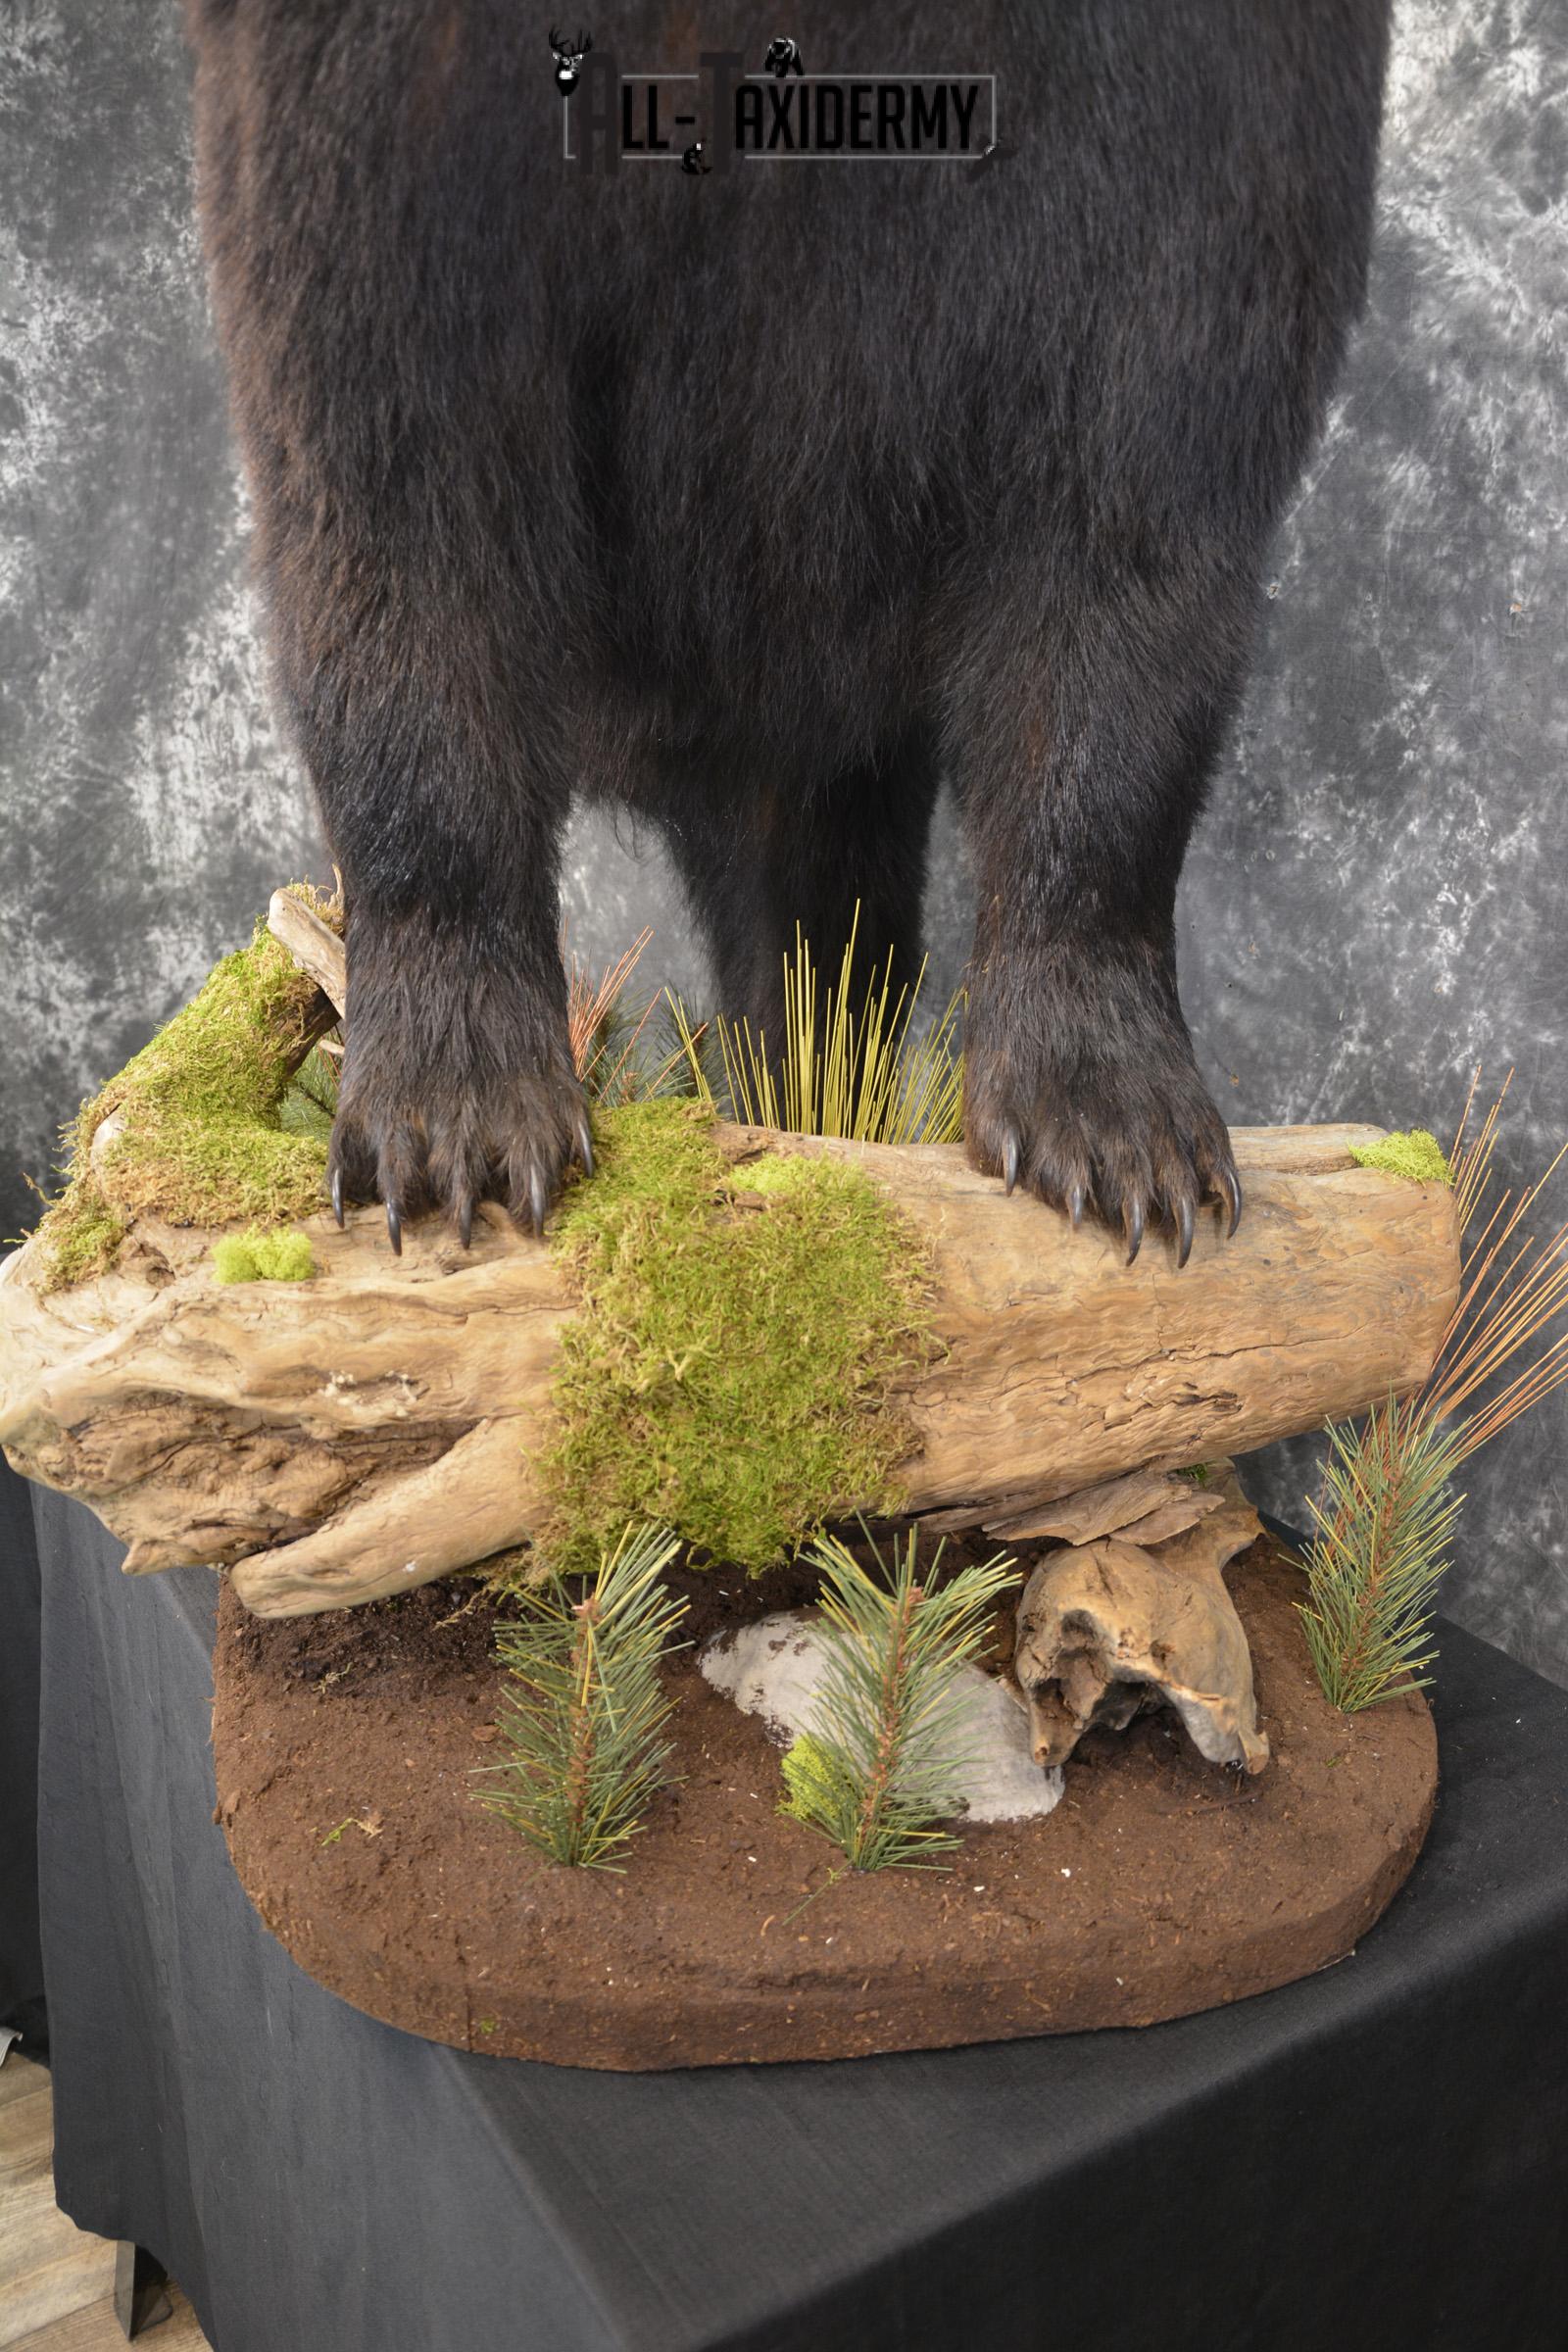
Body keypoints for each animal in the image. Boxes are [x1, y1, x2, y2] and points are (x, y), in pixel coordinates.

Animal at [184, 0, 1392, 1263]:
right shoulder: (384, 92)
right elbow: (392, 459)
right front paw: (449, 1111)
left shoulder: (1190, 87)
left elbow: (1142, 482)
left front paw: (1115, 1124)